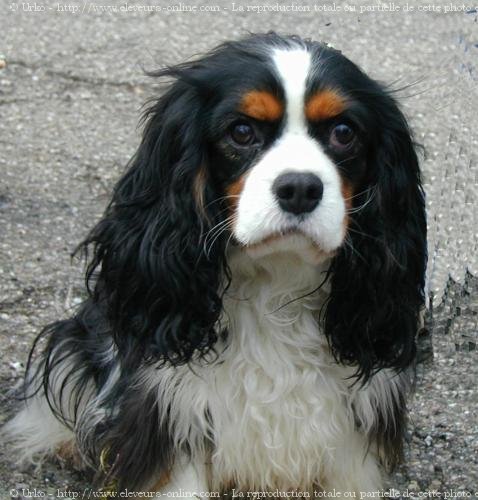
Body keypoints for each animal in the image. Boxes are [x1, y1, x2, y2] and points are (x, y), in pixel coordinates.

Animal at [5, 33, 428, 494]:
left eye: (344, 133)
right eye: (241, 131)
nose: (300, 188)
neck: (275, 283)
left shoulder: (355, 425)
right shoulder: (171, 408)